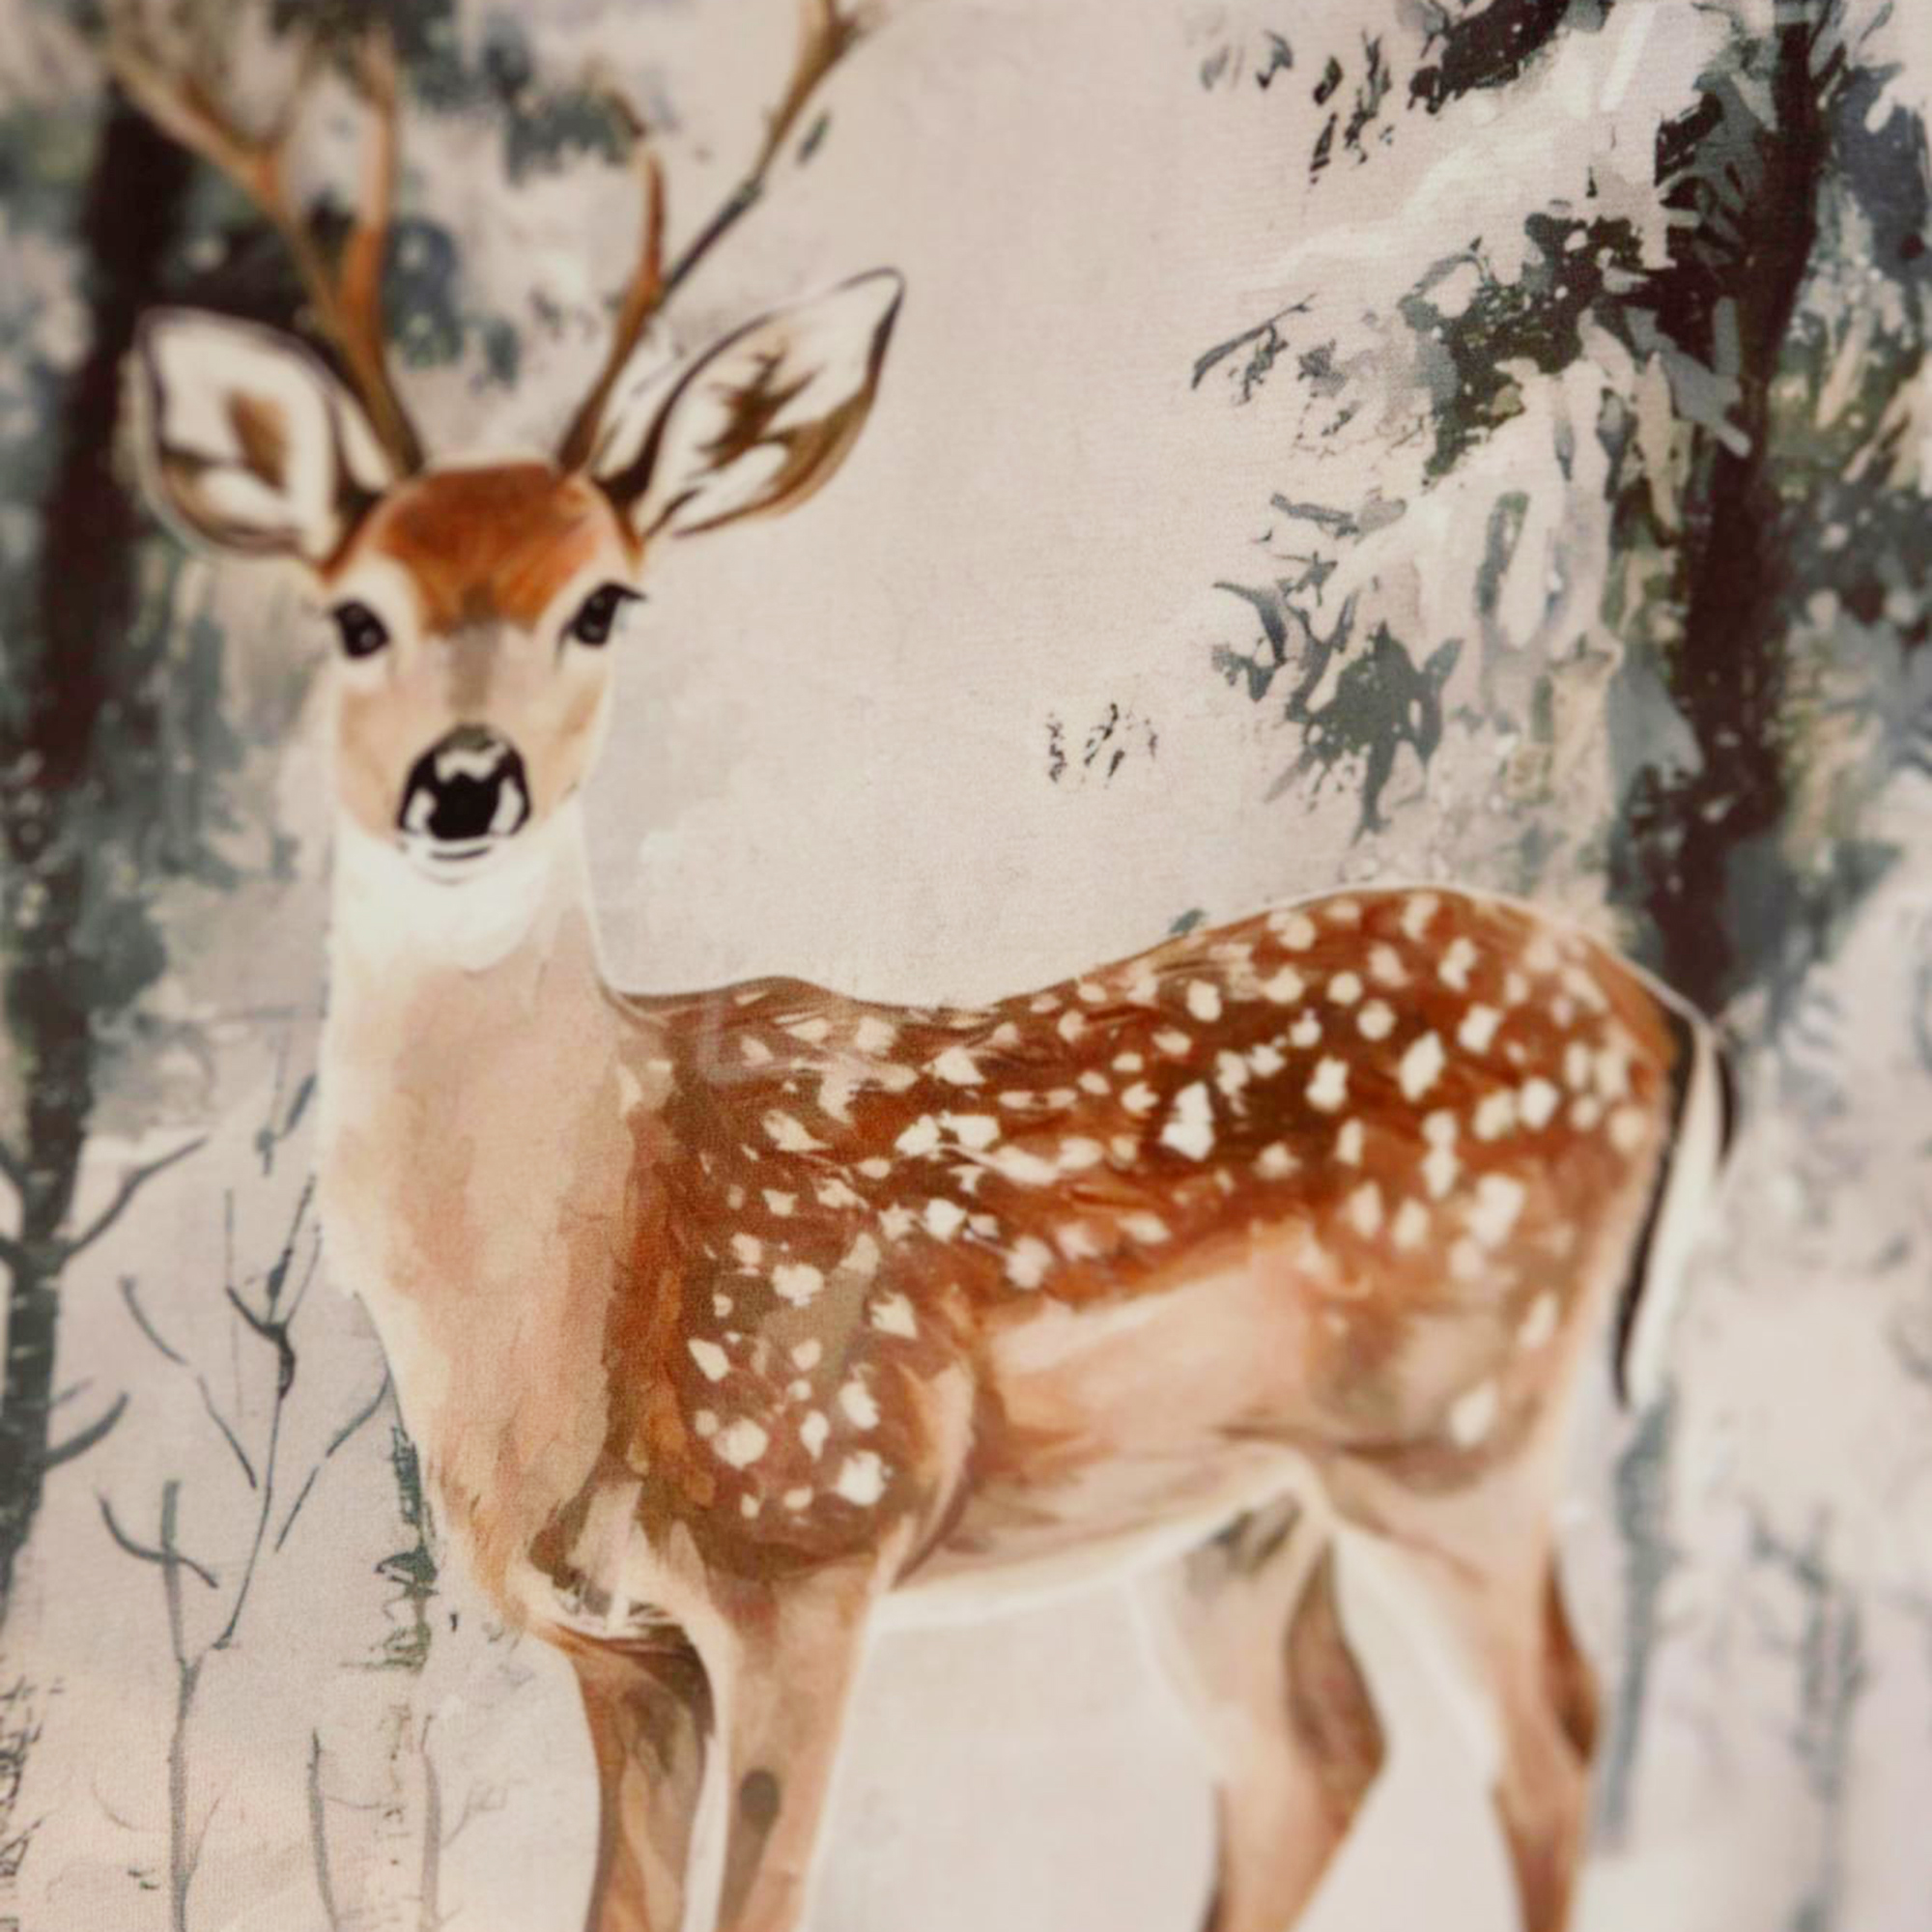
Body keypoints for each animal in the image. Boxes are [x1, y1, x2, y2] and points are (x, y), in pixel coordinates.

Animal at [108, 8, 1730, 1931]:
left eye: (605, 603)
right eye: (353, 614)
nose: (465, 781)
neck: (558, 1312)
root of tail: (1666, 1021)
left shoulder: (812, 1534)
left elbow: (768, 1892)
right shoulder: (615, 1646)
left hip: (1458, 1426)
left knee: (1550, 1732)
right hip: (1237, 1509)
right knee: (1317, 1754)